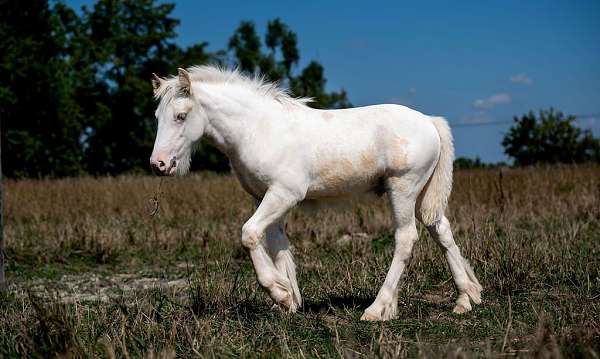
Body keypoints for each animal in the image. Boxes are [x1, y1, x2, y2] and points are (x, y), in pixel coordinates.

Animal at [150, 66, 482, 322]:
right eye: (157, 115)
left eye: (180, 115)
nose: (158, 164)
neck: (259, 129)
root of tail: (429, 121)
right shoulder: (264, 198)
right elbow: (278, 246)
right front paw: (289, 302)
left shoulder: (284, 194)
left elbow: (249, 234)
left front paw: (279, 293)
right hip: (421, 196)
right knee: (441, 230)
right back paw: (465, 299)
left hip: (402, 189)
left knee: (406, 239)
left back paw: (377, 310)